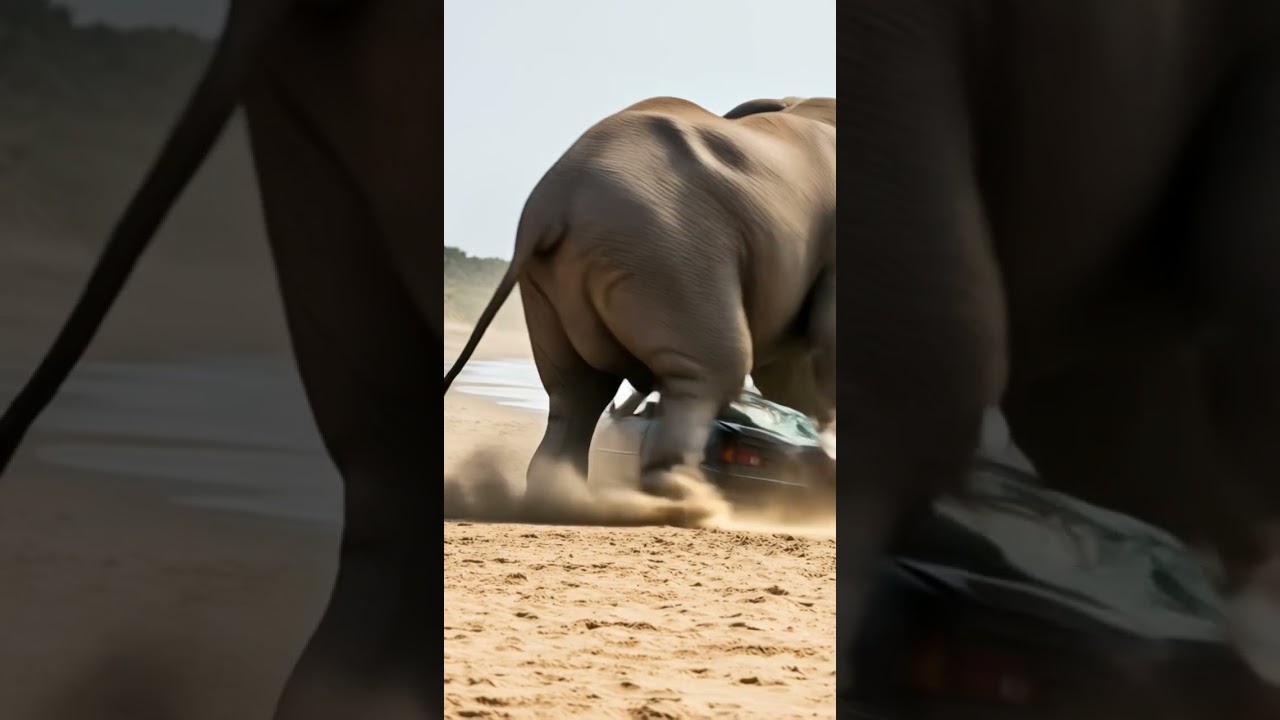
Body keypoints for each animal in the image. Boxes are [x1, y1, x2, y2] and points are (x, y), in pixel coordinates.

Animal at [443, 95, 836, 506]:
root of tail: (549, 207)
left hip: (559, 278)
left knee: (576, 390)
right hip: (667, 250)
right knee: (711, 370)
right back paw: (681, 497)